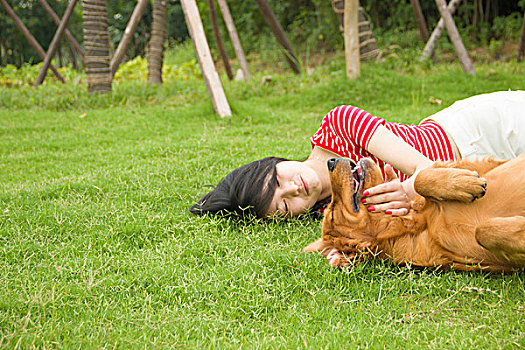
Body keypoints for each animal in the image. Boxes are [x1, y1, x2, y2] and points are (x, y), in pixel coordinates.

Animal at [302, 154, 524, 272]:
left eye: (330, 210)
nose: (330, 161)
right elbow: (483, 231)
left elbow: (420, 179)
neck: (421, 224)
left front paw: (463, 183)